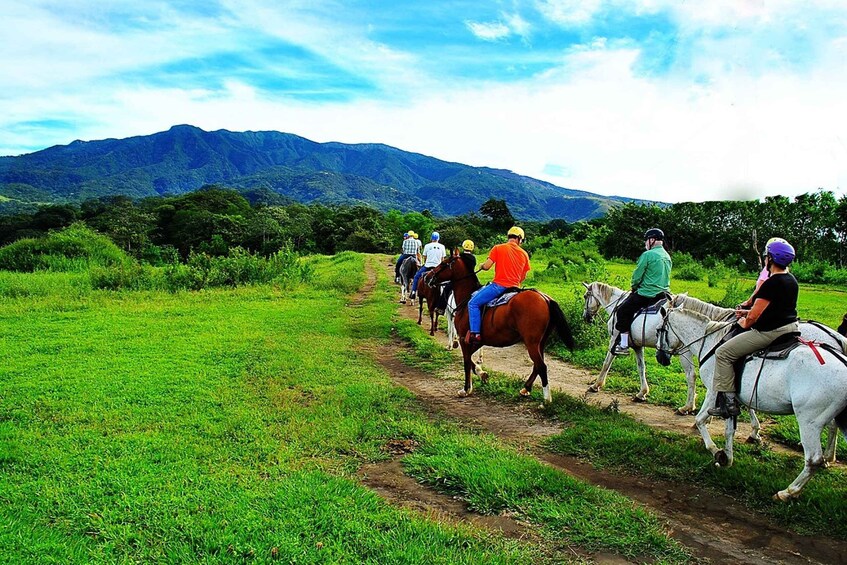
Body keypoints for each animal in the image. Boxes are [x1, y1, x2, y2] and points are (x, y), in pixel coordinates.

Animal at [430, 251, 576, 400]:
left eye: (444, 263)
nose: (428, 276)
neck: (467, 298)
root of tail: (545, 299)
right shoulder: (477, 341)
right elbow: (470, 360)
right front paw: (482, 373)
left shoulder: (463, 339)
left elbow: (466, 360)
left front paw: (466, 389)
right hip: (540, 342)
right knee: (537, 365)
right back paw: (526, 388)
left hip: (531, 342)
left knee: (542, 366)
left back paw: (546, 399)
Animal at [584, 280, 736, 410]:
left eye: (585, 296)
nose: (586, 317)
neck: (616, 304)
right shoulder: (638, 346)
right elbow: (641, 367)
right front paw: (642, 393)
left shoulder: (614, 339)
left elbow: (606, 363)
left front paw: (596, 385)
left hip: (684, 351)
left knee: (691, 375)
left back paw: (687, 407)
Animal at [664, 306, 847, 500]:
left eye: (661, 330)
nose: (662, 357)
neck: (711, 342)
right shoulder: (731, 396)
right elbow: (730, 429)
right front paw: (727, 457)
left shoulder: (714, 390)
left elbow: (700, 420)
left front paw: (715, 449)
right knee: (831, 430)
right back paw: (827, 459)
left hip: (809, 421)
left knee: (813, 459)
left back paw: (788, 492)